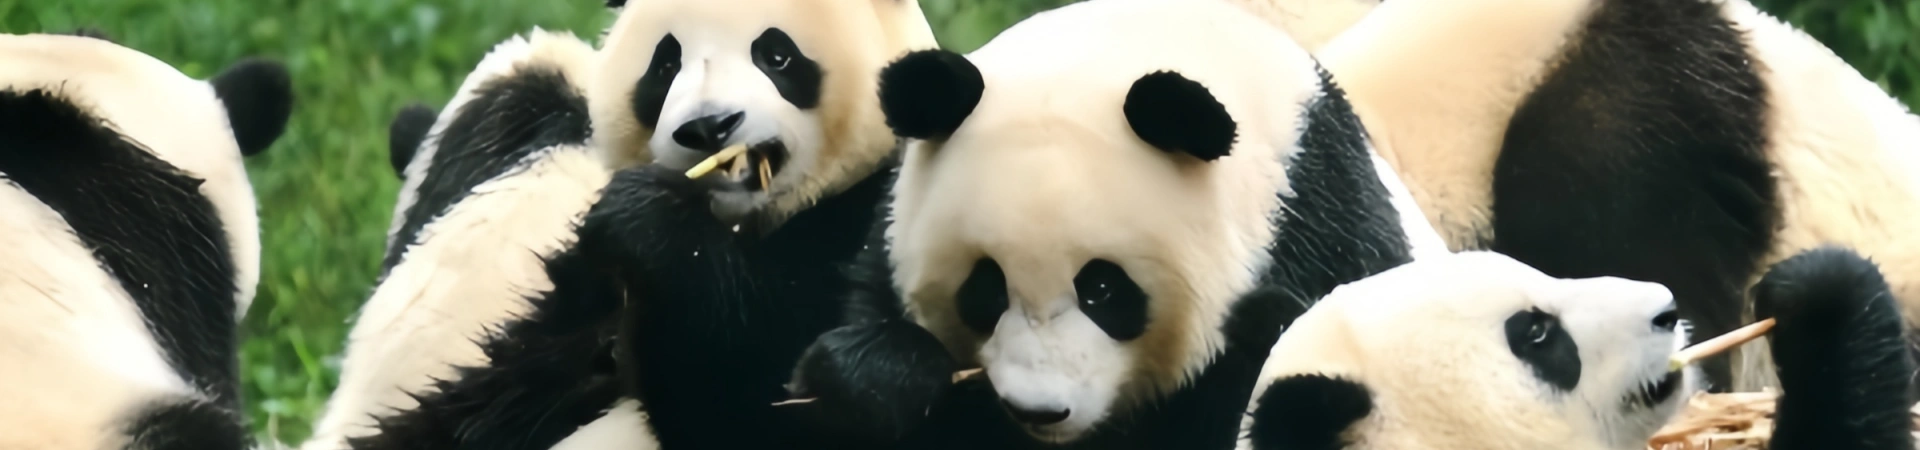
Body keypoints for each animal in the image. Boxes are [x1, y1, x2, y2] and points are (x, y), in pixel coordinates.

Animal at [781, 0, 1444, 448]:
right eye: (985, 287)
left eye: (1102, 288)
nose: (1040, 411)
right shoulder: (887, 238)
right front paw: (879, 375)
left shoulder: (1319, 225)